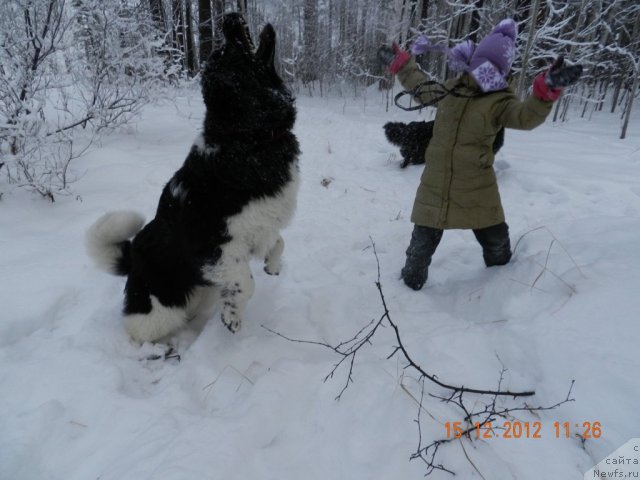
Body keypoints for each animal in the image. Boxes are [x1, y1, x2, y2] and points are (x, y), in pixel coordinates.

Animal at [84, 12, 300, 342]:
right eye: (227, 53)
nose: (228, 17)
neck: (248, 140)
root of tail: (133, 255)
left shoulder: (260, 227)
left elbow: (279, 243)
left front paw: (272, 266)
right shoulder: (217, 246)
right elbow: (245, 283)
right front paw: (232, 317)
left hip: (200, 289)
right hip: (160, 308)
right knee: (138, 328)